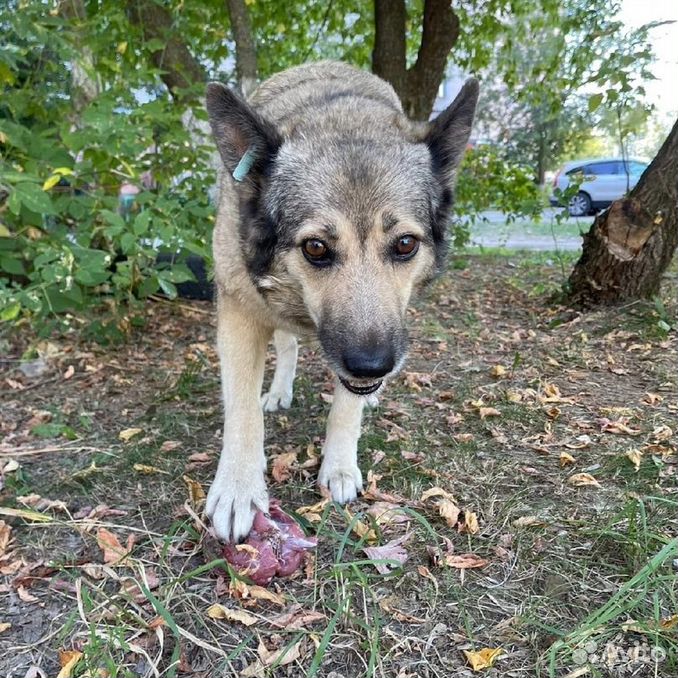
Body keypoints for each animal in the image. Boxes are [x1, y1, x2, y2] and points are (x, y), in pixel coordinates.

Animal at [205, 61, 476, 544]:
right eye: (315, 248)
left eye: (405, 244)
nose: (372, 367)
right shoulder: (239, 314)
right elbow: (242, 411)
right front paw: (238, 486)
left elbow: (344, 410)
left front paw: (339, 465)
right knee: (288, 347)